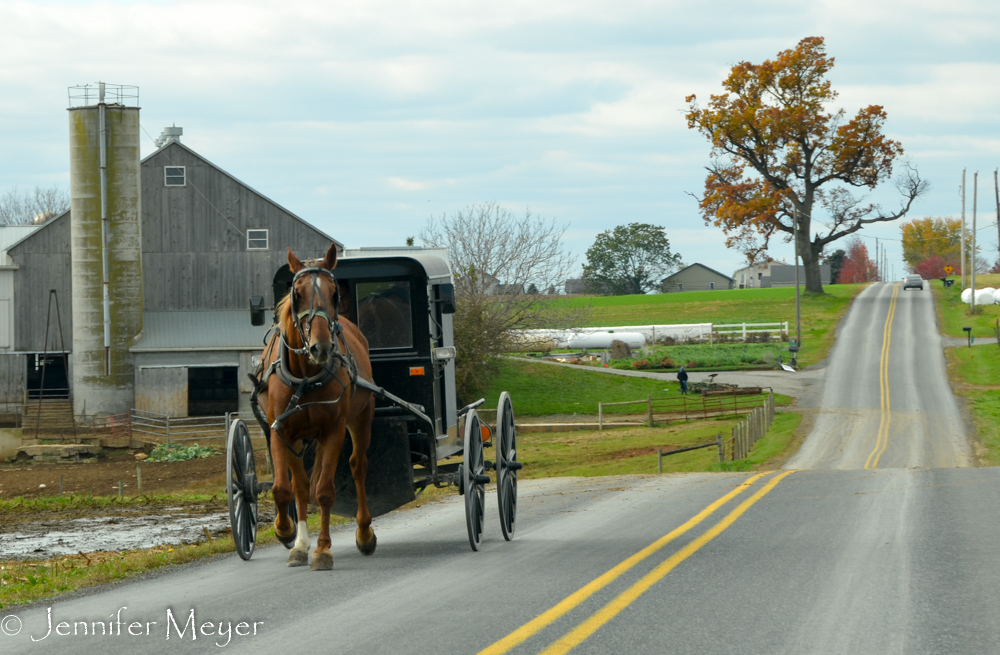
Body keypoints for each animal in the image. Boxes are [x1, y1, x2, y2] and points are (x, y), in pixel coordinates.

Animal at [254, 243, 378, 572]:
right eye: (296, 293)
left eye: (335, 294)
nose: (320, 346)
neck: (305, 376)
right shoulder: (281, 431)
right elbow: (285, 488)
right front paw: (288, 534)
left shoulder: (333, 430)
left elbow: (323, 492)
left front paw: (323, 550)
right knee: (301, 484)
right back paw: (299, 542)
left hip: (361, 420)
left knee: (358, 466)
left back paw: (364, 533)